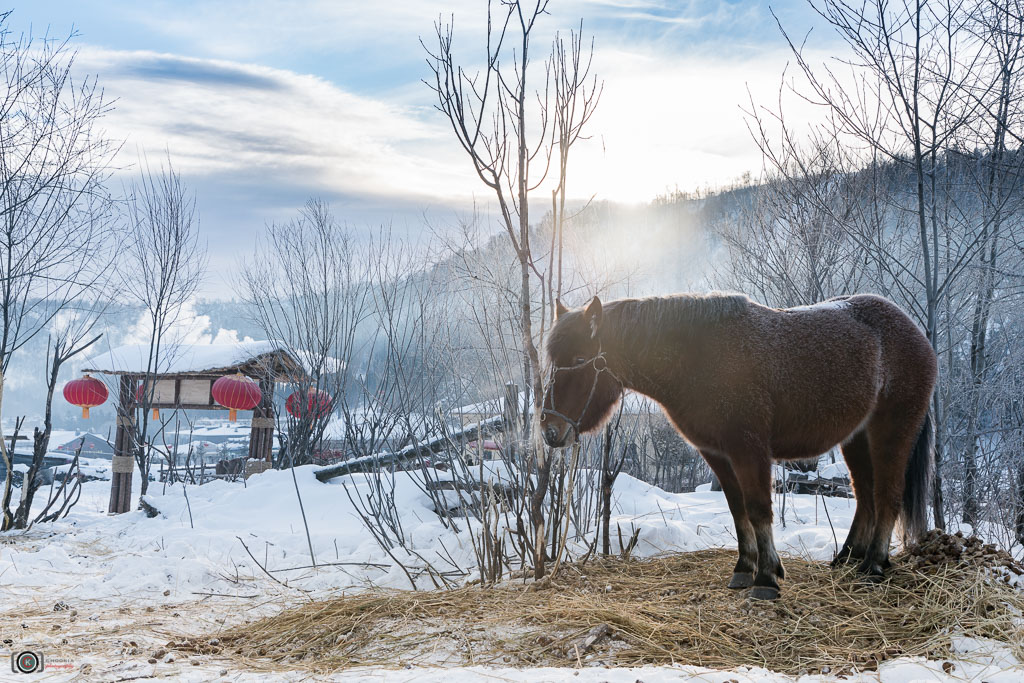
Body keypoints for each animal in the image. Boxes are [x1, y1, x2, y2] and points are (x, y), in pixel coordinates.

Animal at [544, 292, 937, 598]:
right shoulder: (718, 454)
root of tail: (916, 333)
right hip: (856, 438)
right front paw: (744, 568)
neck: (699, 358)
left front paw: (766, 578)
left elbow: (759, 508)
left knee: (887, 495)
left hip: (891, 431)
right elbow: (738, 510)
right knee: (865, 495)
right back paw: (848, 558)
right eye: (552, 362)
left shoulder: (749, 450)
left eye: (579, 360)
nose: (550, 431)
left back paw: (873, 566)